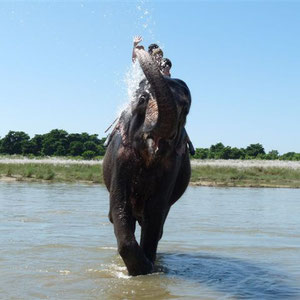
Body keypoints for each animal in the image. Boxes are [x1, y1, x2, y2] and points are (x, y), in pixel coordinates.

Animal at [103, 48, 192, 276]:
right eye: (143, 99)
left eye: (185, 109)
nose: (144, 47)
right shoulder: (121, 154)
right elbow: (119, 205)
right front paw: (141, 271)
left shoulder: (173, 163)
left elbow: (155, 210)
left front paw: (149, 268)